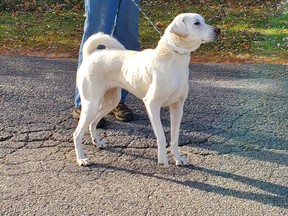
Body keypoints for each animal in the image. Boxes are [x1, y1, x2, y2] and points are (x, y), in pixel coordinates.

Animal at [73, 12, 219, 166]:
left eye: (203, 21)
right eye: (196, 23)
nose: (218, 30)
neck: (174, 58)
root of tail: (91, 55)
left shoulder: (177, 107)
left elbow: (175, 138)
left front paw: (178, 158)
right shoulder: (152, 105)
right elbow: (161, 136)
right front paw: (162, 160)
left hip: (111, 102)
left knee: (93, 123)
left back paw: (98, 142)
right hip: (91, 104)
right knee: (77, 134)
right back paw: (81, 158)